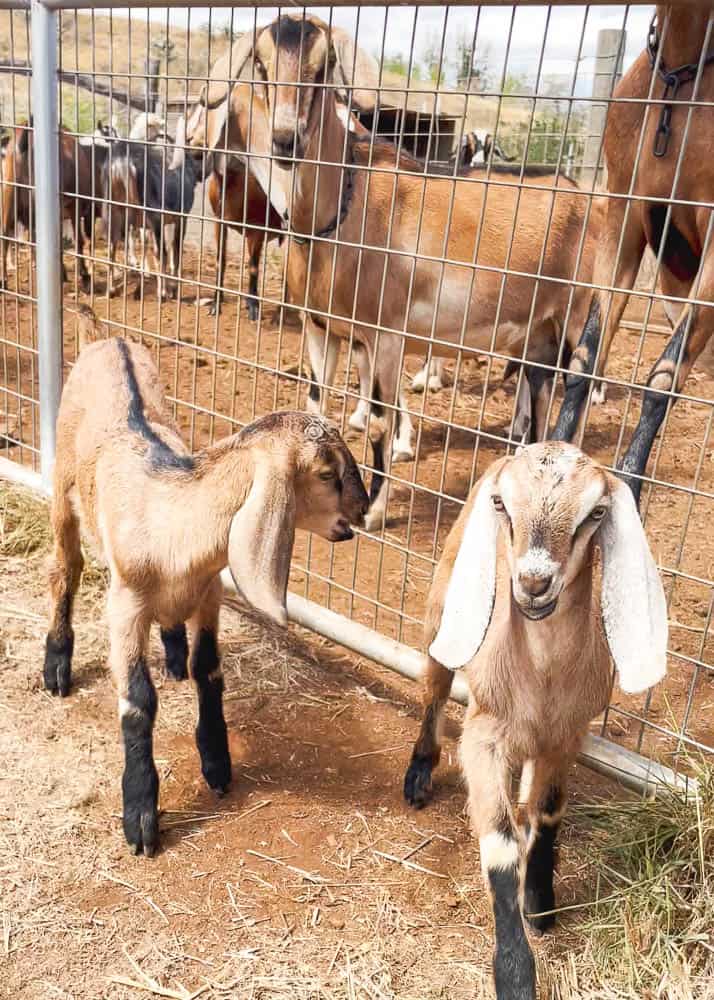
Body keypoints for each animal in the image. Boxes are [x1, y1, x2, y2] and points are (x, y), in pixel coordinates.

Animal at [184, 15, 600, 532]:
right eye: (260, 63)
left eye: (325, 67)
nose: (286, 139)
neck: (342, 210)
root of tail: (581, 193)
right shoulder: (322, 328)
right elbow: (315, 406)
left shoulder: (385, 334)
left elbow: (381, 421)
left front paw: (374, 510)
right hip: (536, 333)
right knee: (538, 403)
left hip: (577, 316)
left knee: (577, 398)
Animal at [406, 444, 668, 1000]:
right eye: (502, 504)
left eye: (596, 513)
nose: (533, 583)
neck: (543, 678)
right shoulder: (483, 733)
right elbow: (500, 845)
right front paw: (514, 972)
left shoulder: (568, 735)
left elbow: (546, 812)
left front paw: (541, 902)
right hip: (443, 608)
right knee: (435, 684)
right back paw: (418, 773)